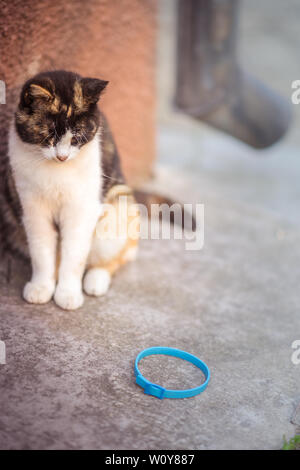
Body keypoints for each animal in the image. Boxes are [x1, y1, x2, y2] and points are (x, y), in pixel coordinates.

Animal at [6, 70, 139, 310]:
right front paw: (41, 287)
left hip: (118, 209)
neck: (56, 172)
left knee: (113, 258)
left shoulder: (82, 209)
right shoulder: (33, 209)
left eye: (77, 137)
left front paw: (68, 294)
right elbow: (41, 252)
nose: (62, 156)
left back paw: (96, 281)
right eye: (48, 135)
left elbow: (74, 255)